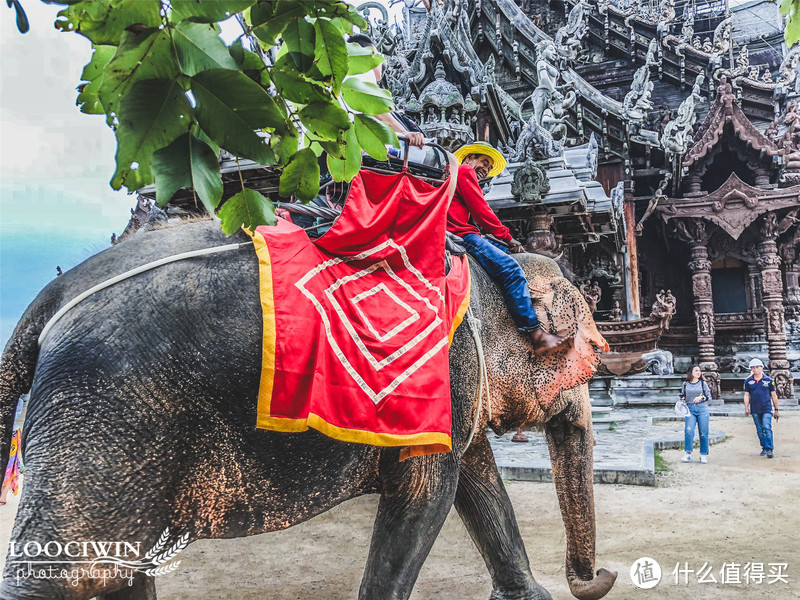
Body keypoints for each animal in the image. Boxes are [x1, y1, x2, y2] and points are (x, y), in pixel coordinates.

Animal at [0, 219, 620, 600]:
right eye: (591, 354)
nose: (605, 573)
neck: (489, 272)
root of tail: (45, 303)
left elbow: (478, 482)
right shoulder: (444, 375)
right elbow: (425, 497)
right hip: (103, 413)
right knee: (69, 573)